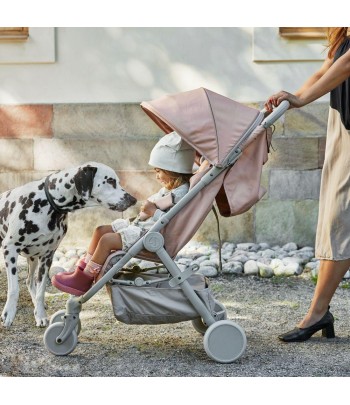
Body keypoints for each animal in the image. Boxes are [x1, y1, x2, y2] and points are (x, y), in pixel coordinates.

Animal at [0, 160, 137, 326]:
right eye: (110, 181)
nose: (133, 199)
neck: (48, 203)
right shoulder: (10, 250)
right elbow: (14, 289)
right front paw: (8, 314)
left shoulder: (47, 256)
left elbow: (40, 291)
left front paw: (40, 314)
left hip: (33, 257)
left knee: (29, 281)